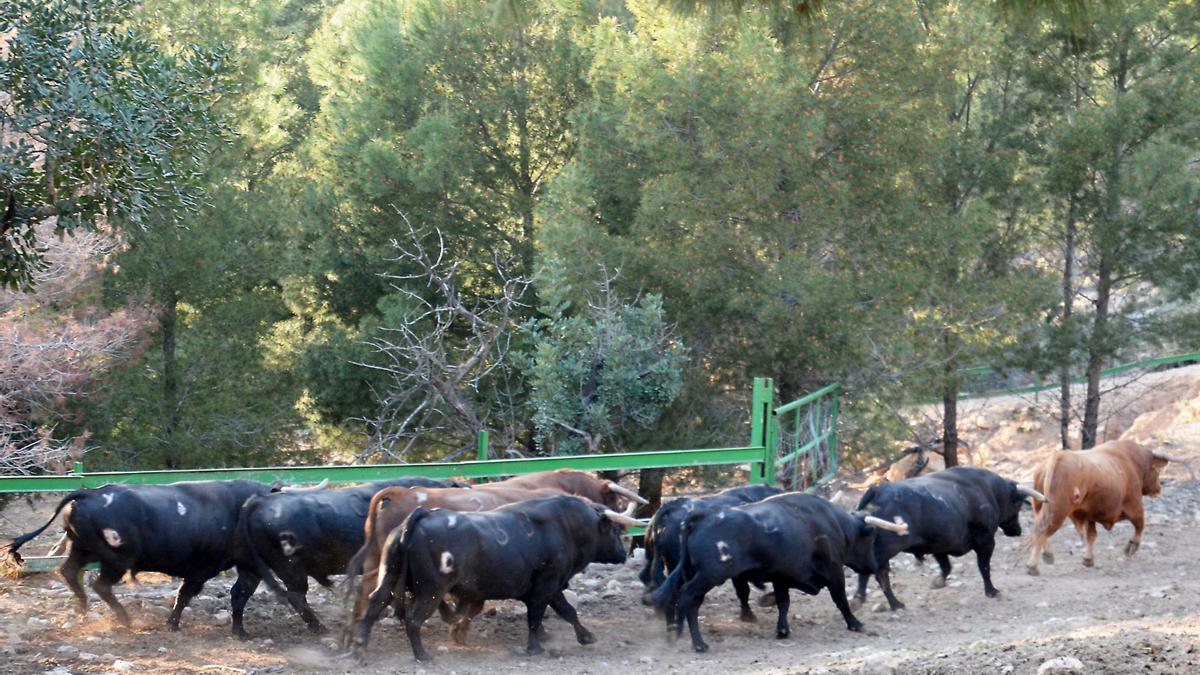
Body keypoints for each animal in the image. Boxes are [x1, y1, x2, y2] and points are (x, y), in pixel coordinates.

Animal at [1, 478, 270, 624]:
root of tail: (89, 493)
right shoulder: (203, 568)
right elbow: (184, 595)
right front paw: (172, 624)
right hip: (116, 560)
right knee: (99, 585)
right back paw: (126, 620)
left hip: (83, 549)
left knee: (68, 572)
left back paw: (84, 610)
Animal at [230, 473, 463, 634]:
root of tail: (260, 501)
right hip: (291, 569)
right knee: (296, 597)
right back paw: (319, 628)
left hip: (253, 569)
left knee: (240, 592)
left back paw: (240, 632)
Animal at [643, 487, 902, 653]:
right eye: (870, 537)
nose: (876, 565)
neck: (832, 524)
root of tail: (698, 516)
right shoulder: (833, 572)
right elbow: (841, 600)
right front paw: (855, 623)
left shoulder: (781, 577)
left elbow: (783, 602)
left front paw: (782, 629)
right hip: (708, 576)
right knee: (686, 600)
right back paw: (689, 640)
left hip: (690, 573)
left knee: (683, 601)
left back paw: (682, 635)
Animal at [854, 466, 1041, 607]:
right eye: (1016, 504)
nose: (1017, 531)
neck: (987, 490)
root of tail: (877, 490)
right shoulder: (986, 541)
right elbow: (984, 567)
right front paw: (992, 591)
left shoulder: (940, 546)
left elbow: (946, 567)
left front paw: (938, 582)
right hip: (886, 549)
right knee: (877, 573)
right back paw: (877, 601)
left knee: (875, 573)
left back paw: (886, 602)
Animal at [1022, 439, 1180, 576]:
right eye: (1157, 471)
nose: (1159, 488)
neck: (1133, 462)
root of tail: (1058, 457)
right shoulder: (1135, 506)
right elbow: (1139, 525)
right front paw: (1131, 546)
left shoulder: (1089, 514)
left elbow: (1091, 535)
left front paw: (1088, 559)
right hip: (1057, 511)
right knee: (1042, 530)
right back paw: (1032, 565)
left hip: (1040, 506)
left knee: (1038, 528)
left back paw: (1047, 555)